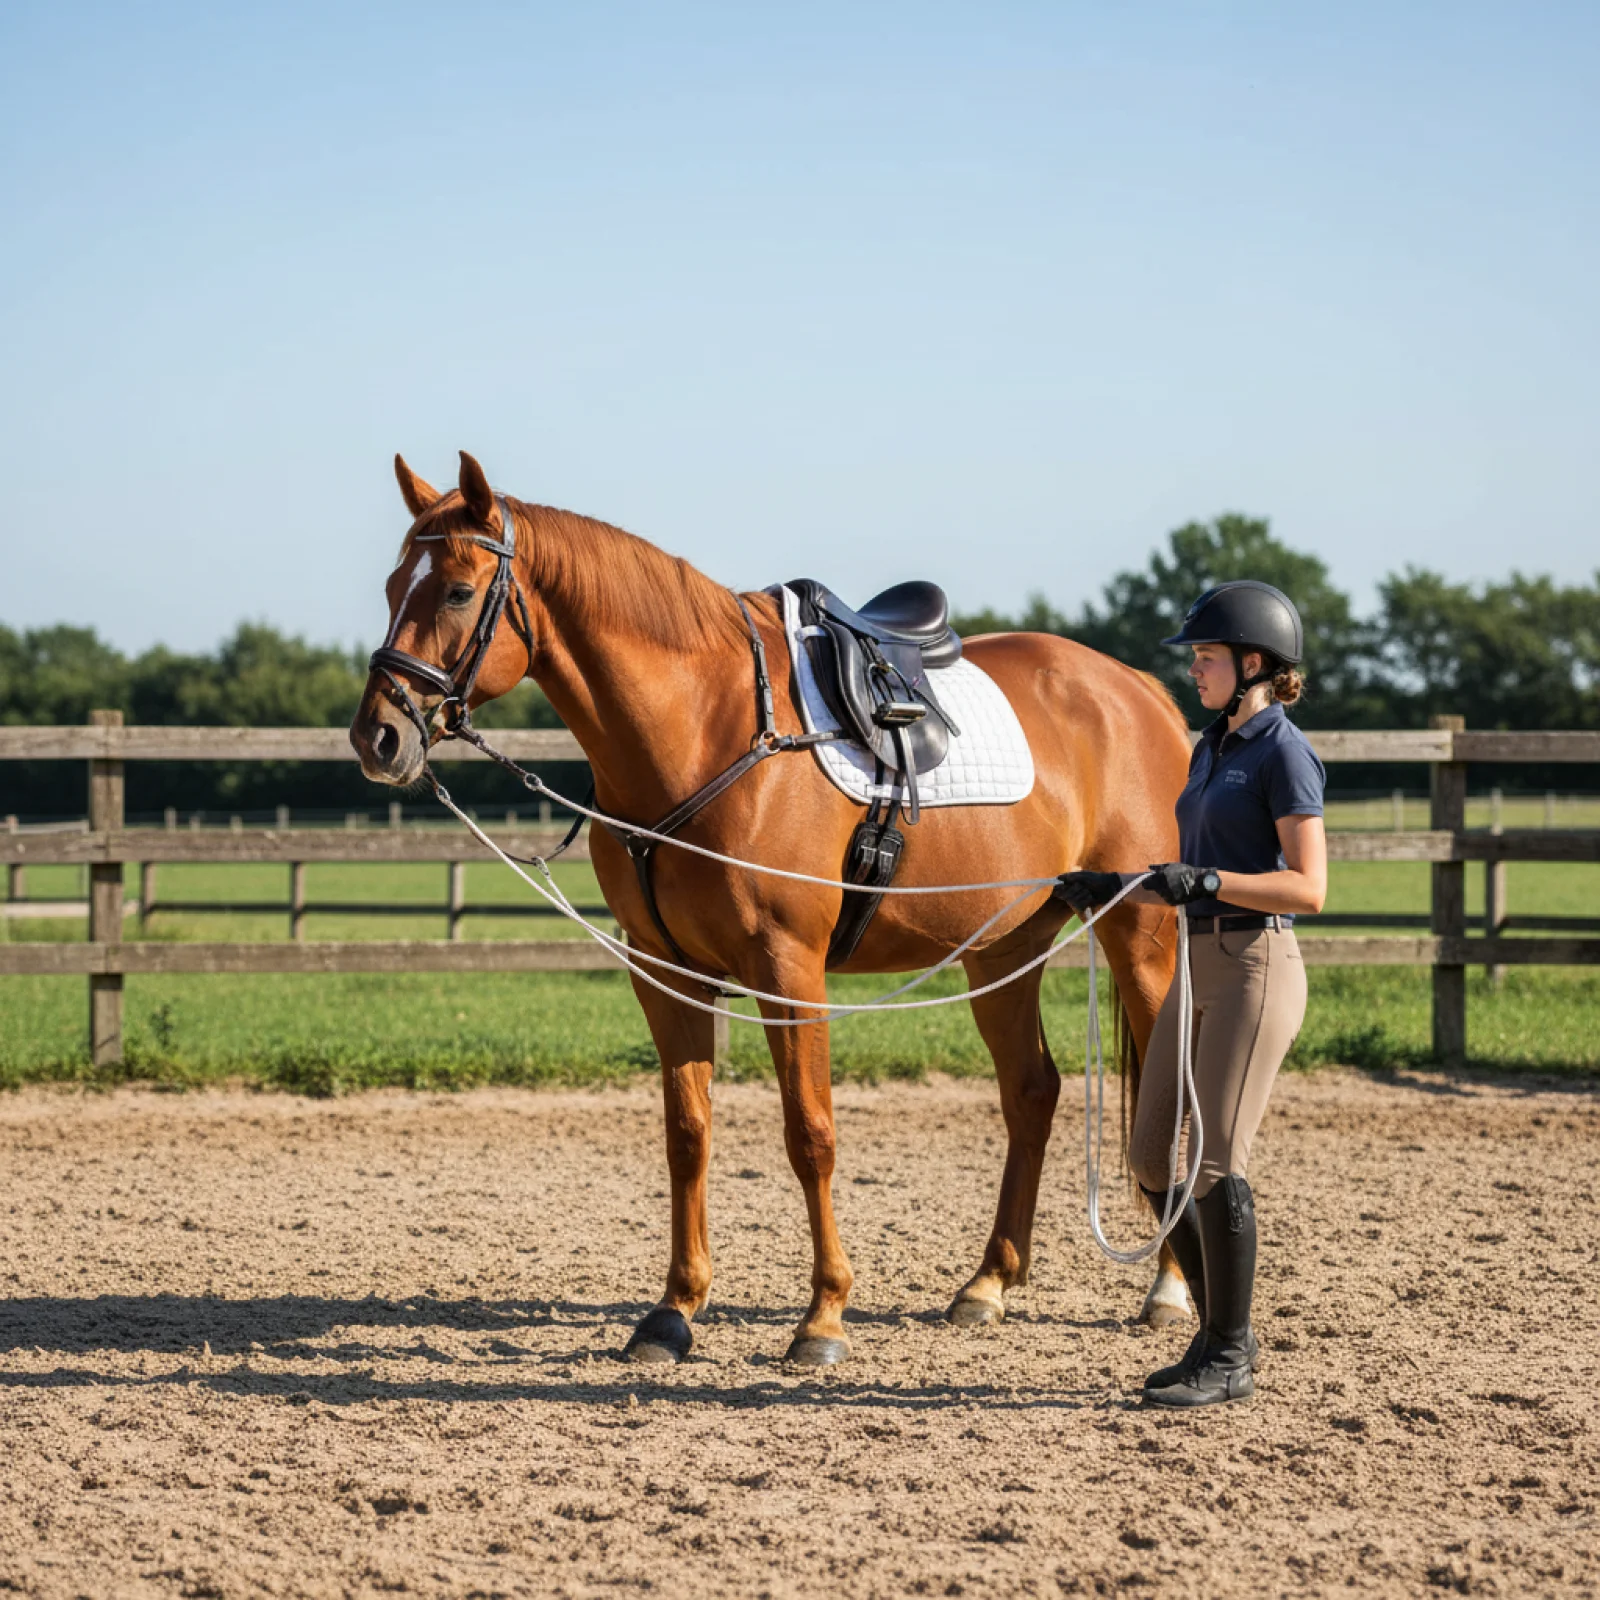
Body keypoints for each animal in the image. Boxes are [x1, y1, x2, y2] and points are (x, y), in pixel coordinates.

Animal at [349, 451, 1193, 1366]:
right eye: (392, 584)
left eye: (458, 590)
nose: (377, 737)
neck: (707, 730)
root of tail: (1139, 692)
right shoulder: (664, 970)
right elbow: (688, 1132)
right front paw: (674, 1309)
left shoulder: (789, 970)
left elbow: (809, 1134)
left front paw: (822, 1316)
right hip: (1001, 948)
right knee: (1031, 1091)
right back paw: (988, 1283)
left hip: (1141, 935)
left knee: (1167, 1096)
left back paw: (1169, 1289)